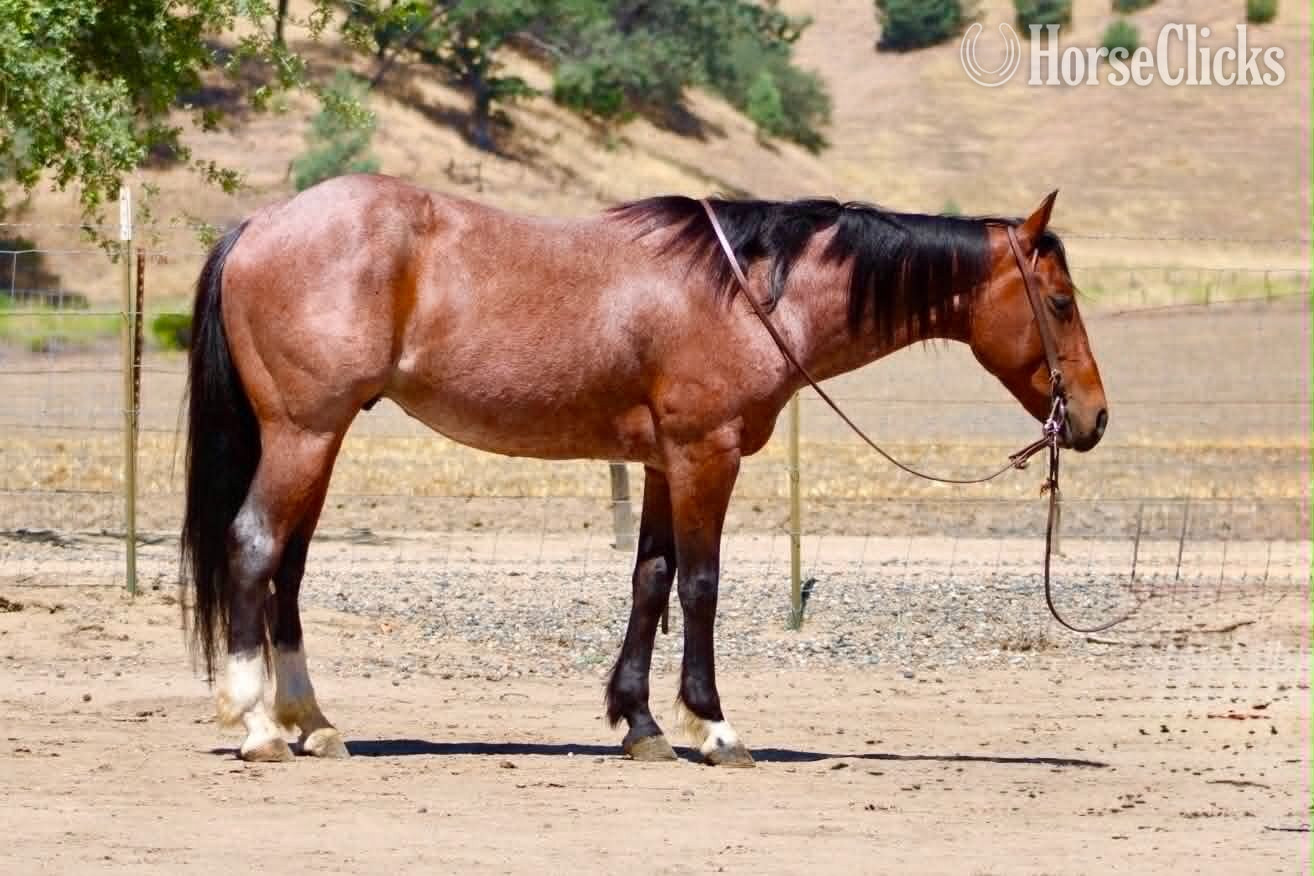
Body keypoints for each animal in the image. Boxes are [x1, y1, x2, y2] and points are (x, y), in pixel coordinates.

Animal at [181, 174, 1107, 765]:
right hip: (304, 433)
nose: (1094, 418)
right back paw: (258, 726)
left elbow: (650, 579)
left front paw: (640, 723)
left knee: (289, 568)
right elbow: (699, 584)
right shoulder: (706, 455)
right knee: (255, 547)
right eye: (1060, 303)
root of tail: (259, 224)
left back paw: (311, 721)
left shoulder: (665, 464)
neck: (751, 295)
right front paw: (715, 727)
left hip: (320, 440)